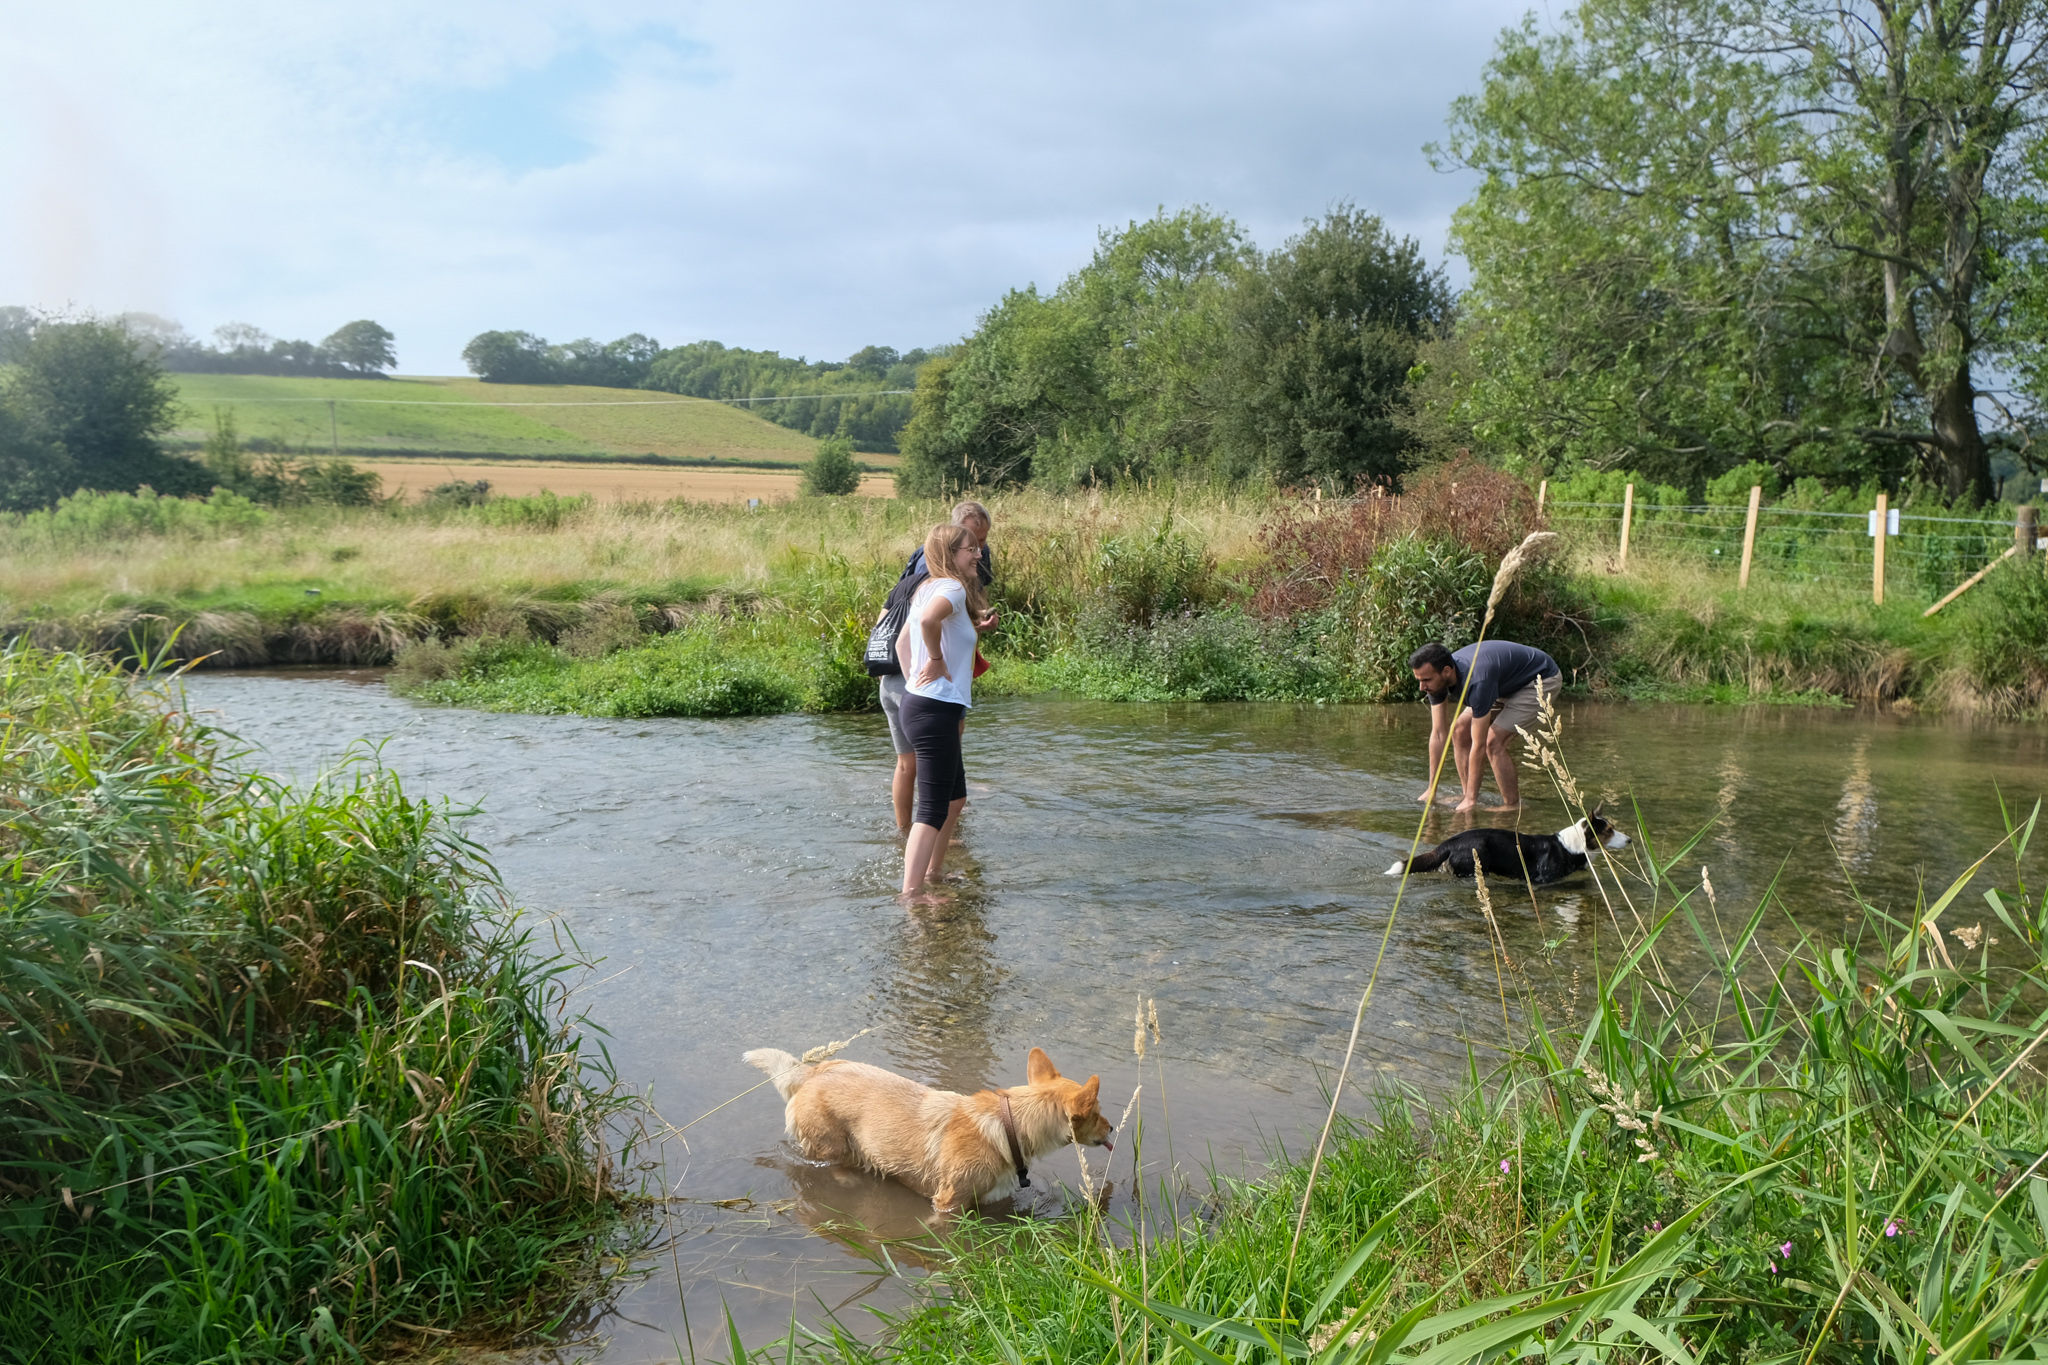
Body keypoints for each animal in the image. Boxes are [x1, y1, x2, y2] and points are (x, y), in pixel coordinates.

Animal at [743, 1045, 1113, 1212]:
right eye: (1097, 1112)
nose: (1112, 1129)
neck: (1008, 1126)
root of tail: (810, 1072)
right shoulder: (948, 1202)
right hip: (833, 1146)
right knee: (835, 1165)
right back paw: (848, 1179)